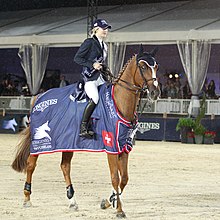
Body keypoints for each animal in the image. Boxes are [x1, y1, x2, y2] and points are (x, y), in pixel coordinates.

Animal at [11, 45, 160, 217]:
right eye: (143, 67)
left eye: (156, 66)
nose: (155, 93)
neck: (120, 102)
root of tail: (40, 96)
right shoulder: (111, 147)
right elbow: (115, 178)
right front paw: (119, 210)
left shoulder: (124, 147)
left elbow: (124, 179)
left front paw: (108, 201)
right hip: (39, 143)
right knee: (30, 165)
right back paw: (27, 199)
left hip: (67, 142)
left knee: (65, 166)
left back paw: (72, 201)